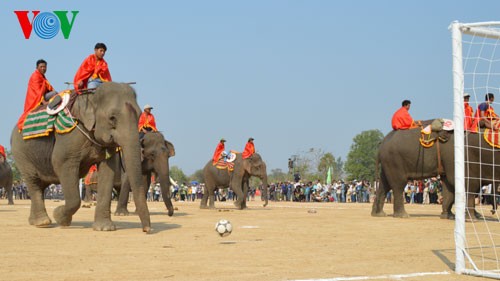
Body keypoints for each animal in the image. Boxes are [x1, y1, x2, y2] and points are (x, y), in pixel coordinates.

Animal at [11, 82, 150, 231]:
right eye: (112, 118)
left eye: (140, 115)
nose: (146, 230)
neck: (91, 95)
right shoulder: (69, 135)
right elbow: (60, 162)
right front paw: (60, 217)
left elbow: (108, 170)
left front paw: (105, 228)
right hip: (21, 153)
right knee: (33, 182)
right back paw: (42, 222)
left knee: (40, 185)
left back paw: (35, 221)